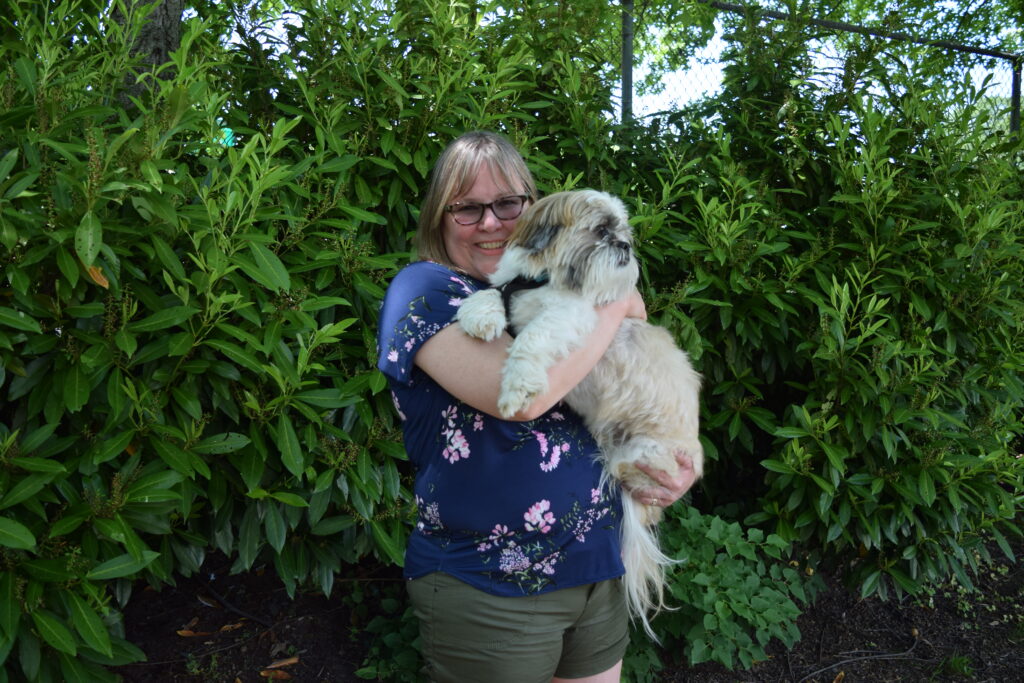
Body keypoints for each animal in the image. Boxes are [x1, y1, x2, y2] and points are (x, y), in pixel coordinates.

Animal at [456, 188, 704, 643]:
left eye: (622, 232)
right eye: (603, 230)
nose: (624, 245)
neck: (544, 279)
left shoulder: (569, 316)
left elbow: (532, 339)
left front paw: (517, 386)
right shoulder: (510, 289)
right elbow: (491, 293)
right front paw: (479, 315)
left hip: (641, 454)